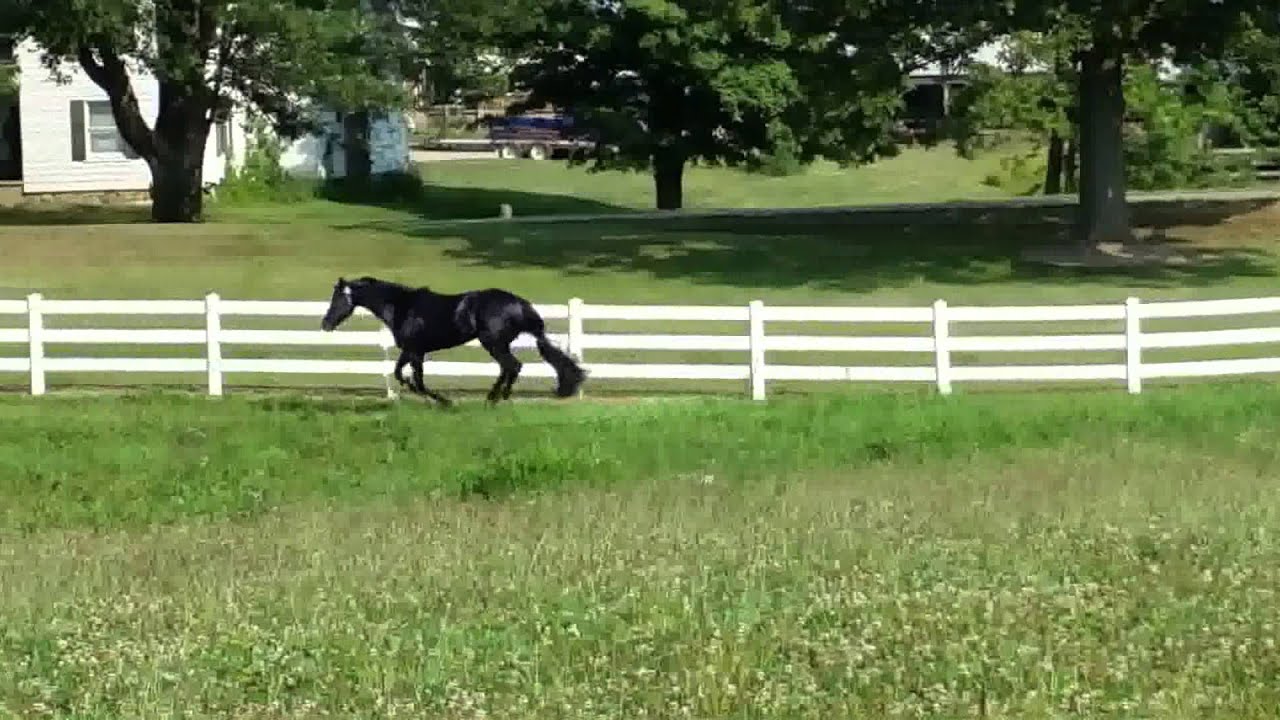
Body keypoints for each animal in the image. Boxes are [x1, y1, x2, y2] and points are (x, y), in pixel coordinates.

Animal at [319, 276, 586, 406]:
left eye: (338, 299)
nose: (325, 323)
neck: (401, 307)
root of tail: (520, 305)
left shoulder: (415, 351)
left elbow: (416, 380)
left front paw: (443, 401)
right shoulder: (413, 351)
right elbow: (402, 374)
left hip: (493, 343)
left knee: (512, 366)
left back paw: (496, 398)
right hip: (498, 344)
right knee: (510, 367)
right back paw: (496, 397)